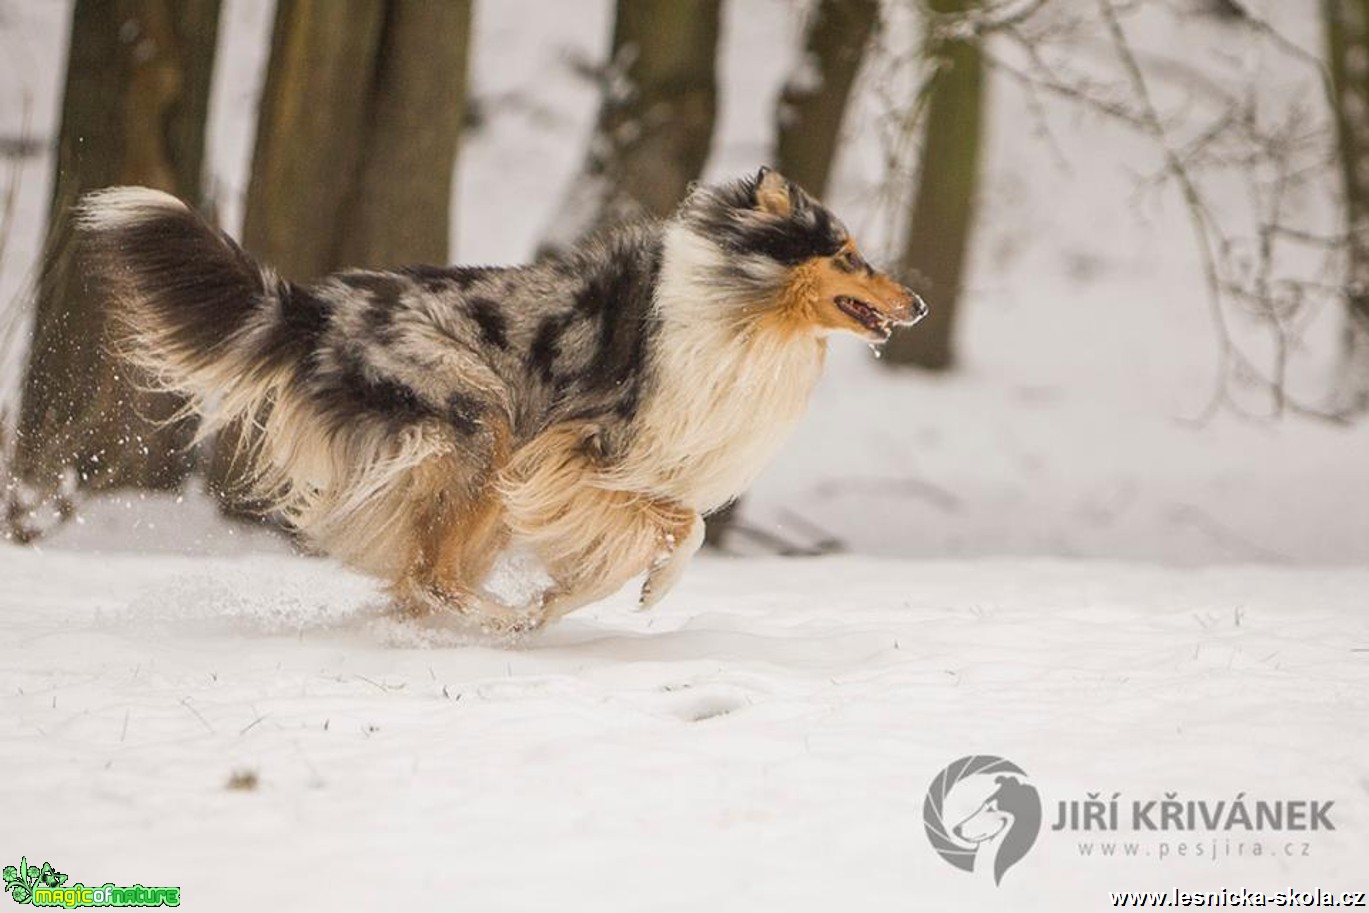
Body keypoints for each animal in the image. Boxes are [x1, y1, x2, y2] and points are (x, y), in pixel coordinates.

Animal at [80, 167, 925, 632]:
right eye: (849, 254)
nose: (916, 304)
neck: (738, 307)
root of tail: (318, 310)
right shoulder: (577, 451)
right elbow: (679, 527)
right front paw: (619, 593)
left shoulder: (610, 466)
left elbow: (663, 531)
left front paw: (575, 595)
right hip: (479, 424)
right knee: (430, 576)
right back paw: (499, 618)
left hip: (476, 467)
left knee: (418, 576)